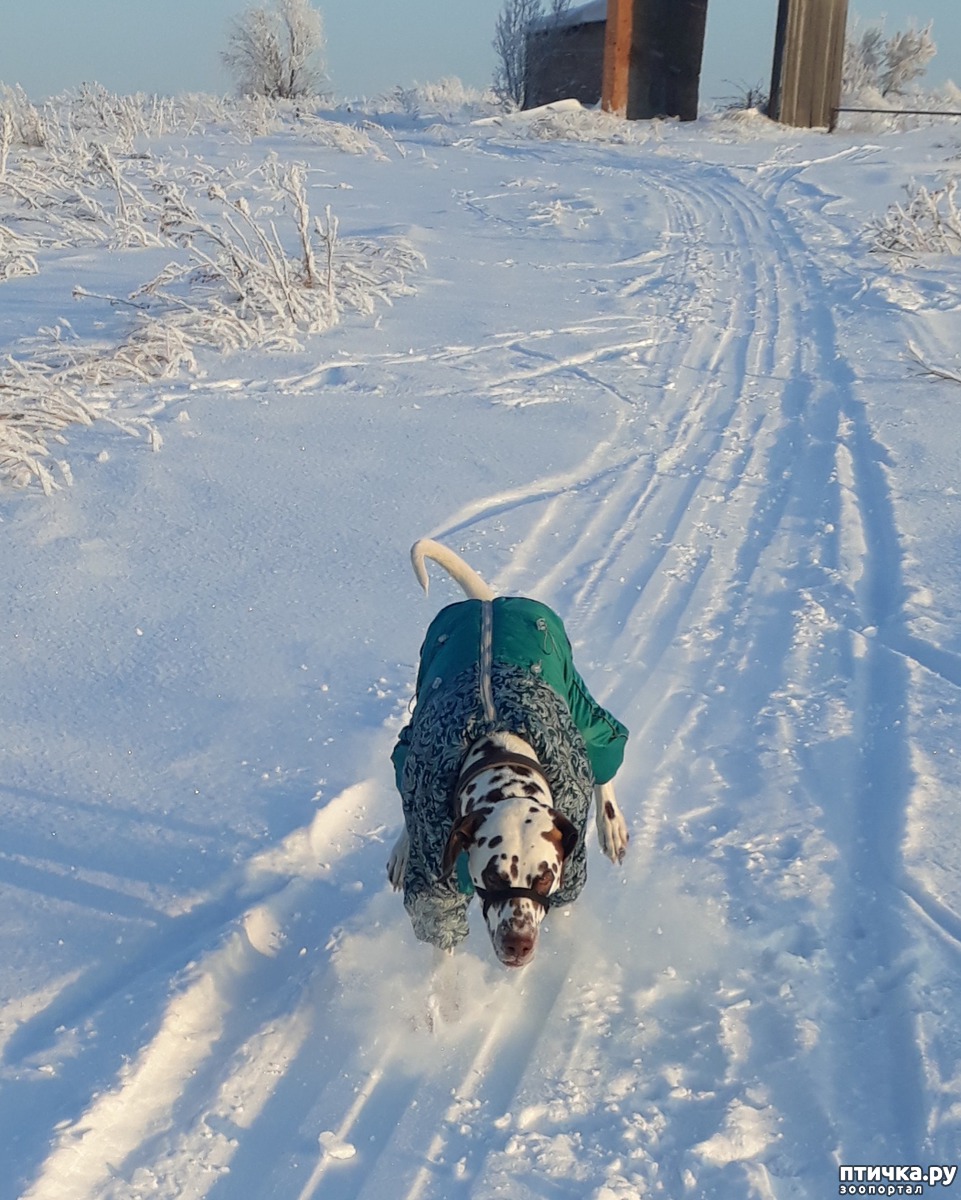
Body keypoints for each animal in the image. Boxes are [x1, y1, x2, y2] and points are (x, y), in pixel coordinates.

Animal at [386, 540, 623, 969]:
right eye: (495, 876)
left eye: (544, 877)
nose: (518, 943)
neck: (498, 743)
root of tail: (488, 601)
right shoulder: (434, 886)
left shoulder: (568, 872)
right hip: (415, 730)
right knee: (403, 776)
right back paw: (401, 848)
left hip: (576, 697)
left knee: (604, 749)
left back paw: (612, 825)